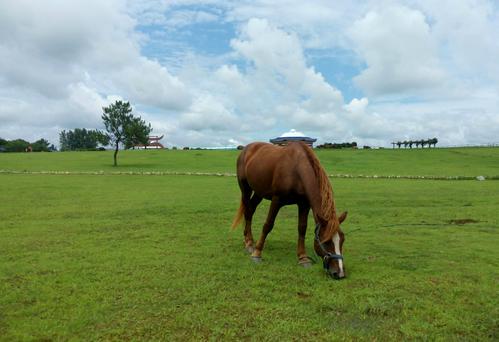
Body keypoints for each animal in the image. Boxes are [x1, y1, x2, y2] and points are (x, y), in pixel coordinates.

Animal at [233, 141, 348, 278]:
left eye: (342, 240)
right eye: (326, 241)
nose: (340, 273)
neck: (296, 169)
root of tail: (247, 149)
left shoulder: (304, 204)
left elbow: (302, 228)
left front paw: (303, 258)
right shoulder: (277, 200)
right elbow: (268, 225)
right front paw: (257, 254)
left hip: (259, 192)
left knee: (250, 210)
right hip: (245, 188)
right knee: (247, 211)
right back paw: (249, 243)